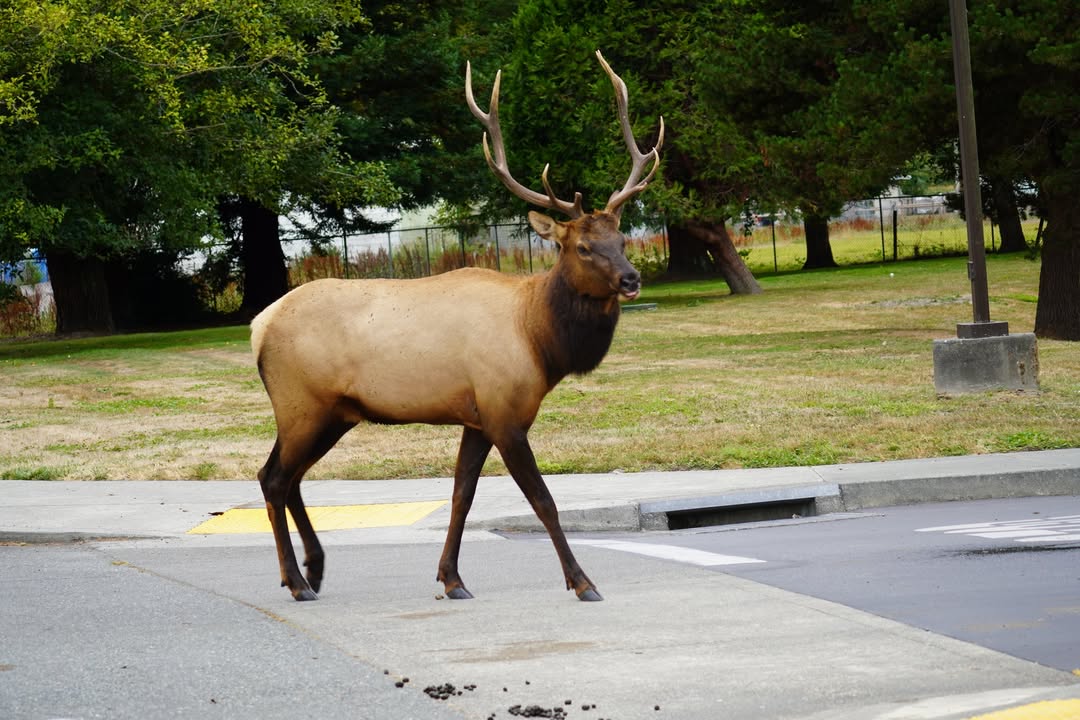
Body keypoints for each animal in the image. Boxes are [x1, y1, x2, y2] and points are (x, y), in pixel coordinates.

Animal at [250, 50, 664, 602]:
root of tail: (259, 324)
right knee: (274, 477)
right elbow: (543, 500)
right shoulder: (503, 411)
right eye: (581, 246)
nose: (631, 279)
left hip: (331, 412)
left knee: (287, 477)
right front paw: (582, 582)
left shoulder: (475, 418)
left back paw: (311, 569)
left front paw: (451, 578)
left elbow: (461, 495)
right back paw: (297, 582)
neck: (540, 340)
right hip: (302, 403)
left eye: (620, 238)